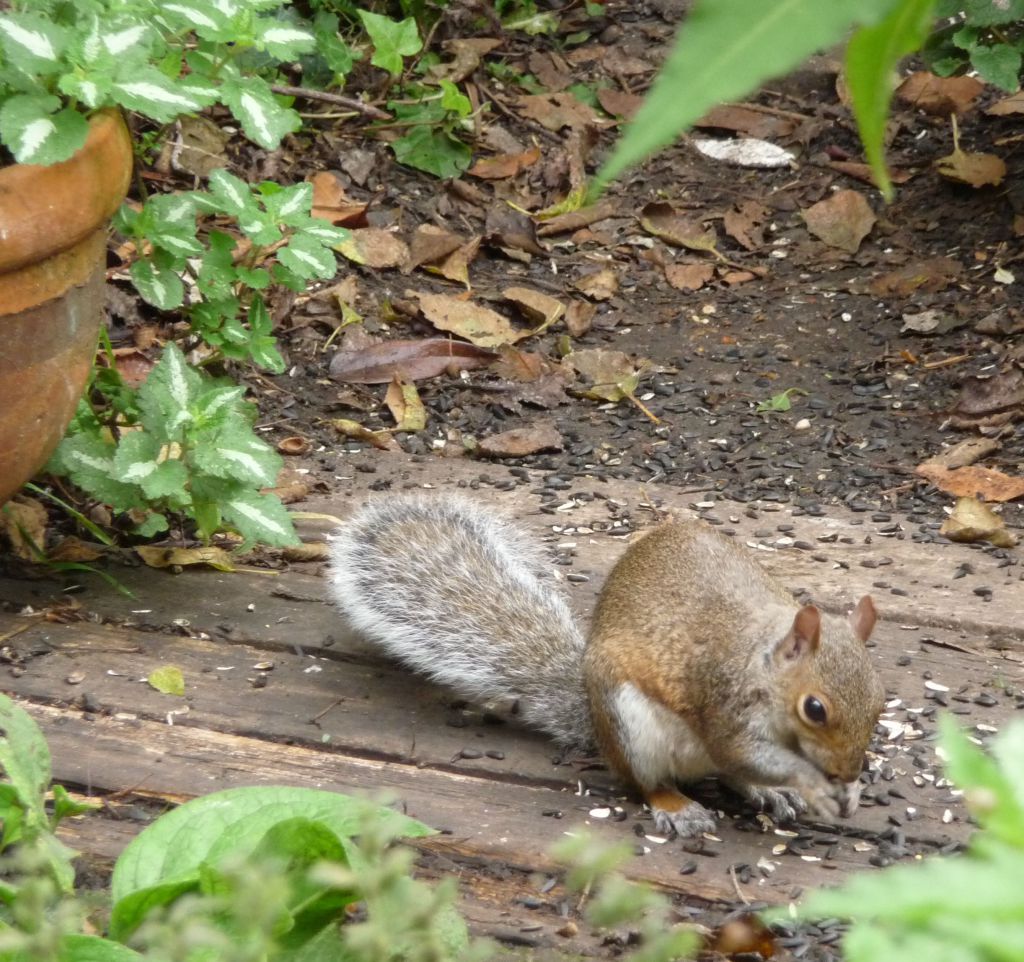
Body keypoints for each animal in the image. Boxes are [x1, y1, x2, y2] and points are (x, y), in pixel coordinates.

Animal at [325, 493, 880, 840]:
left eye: (878, 705)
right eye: (814, 708)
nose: (849, 770)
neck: (762, 661)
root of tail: (592, 716)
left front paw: (837, 788)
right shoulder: (724, 701)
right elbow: (744, 752)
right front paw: (812, 783)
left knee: (728, 776)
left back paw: (767, 793)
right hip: (629, 724)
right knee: (649, 783)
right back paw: (678, 807)